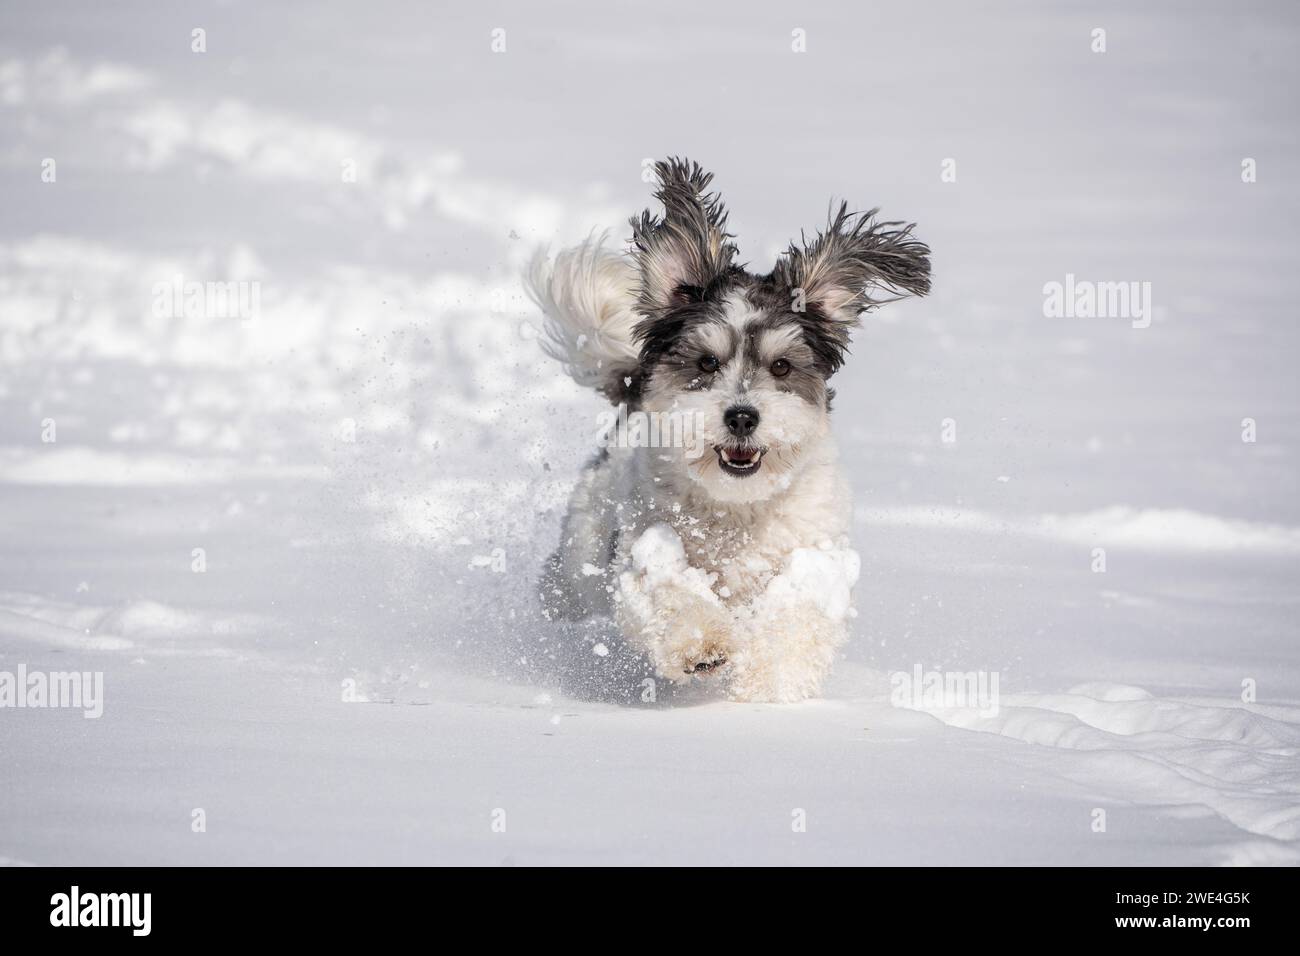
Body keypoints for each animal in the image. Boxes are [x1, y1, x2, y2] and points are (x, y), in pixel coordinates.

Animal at [522, 158, 930, 702]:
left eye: (781, 366)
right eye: (706, 362)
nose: (741, 416)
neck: (738, 510)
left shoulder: (816, 553)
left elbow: (799, 610)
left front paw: (771, 681)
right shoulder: (645, 545)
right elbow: (669, 589)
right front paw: (704, 646)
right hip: (585, 549)